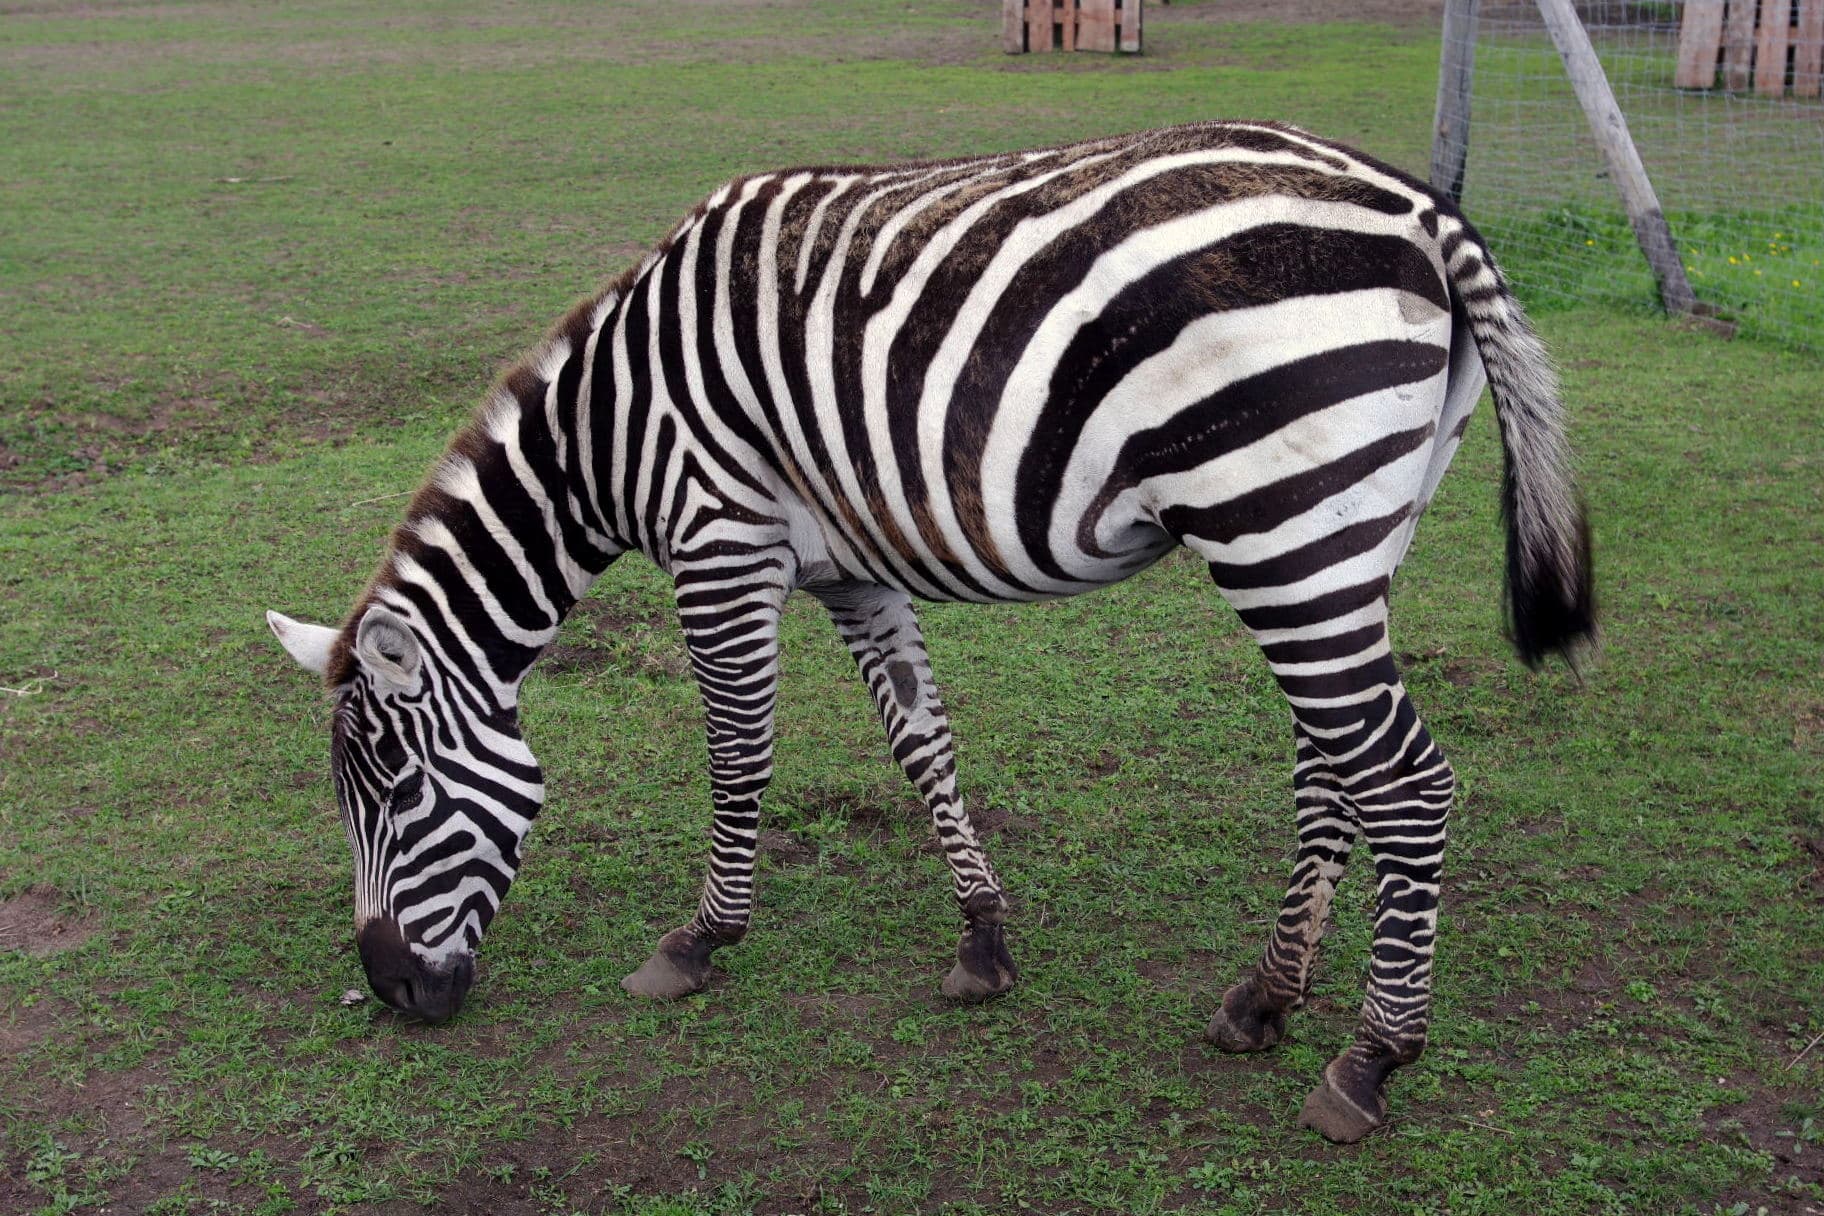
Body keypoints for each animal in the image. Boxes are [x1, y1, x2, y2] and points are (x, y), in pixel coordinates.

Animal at [266, 119, 1595, 1142]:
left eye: (395, 789)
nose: (391, 992)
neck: (613, 421)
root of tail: (1420, 206)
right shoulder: (850, 571)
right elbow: (922, 744)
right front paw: (985, 939)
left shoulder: (720, 542)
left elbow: (738, 755)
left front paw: (699, 940)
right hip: (1348, 532)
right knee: (1336, 764)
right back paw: (1265, 997)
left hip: (1279, 523)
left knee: (1407, 781)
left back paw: (1368, 1060)